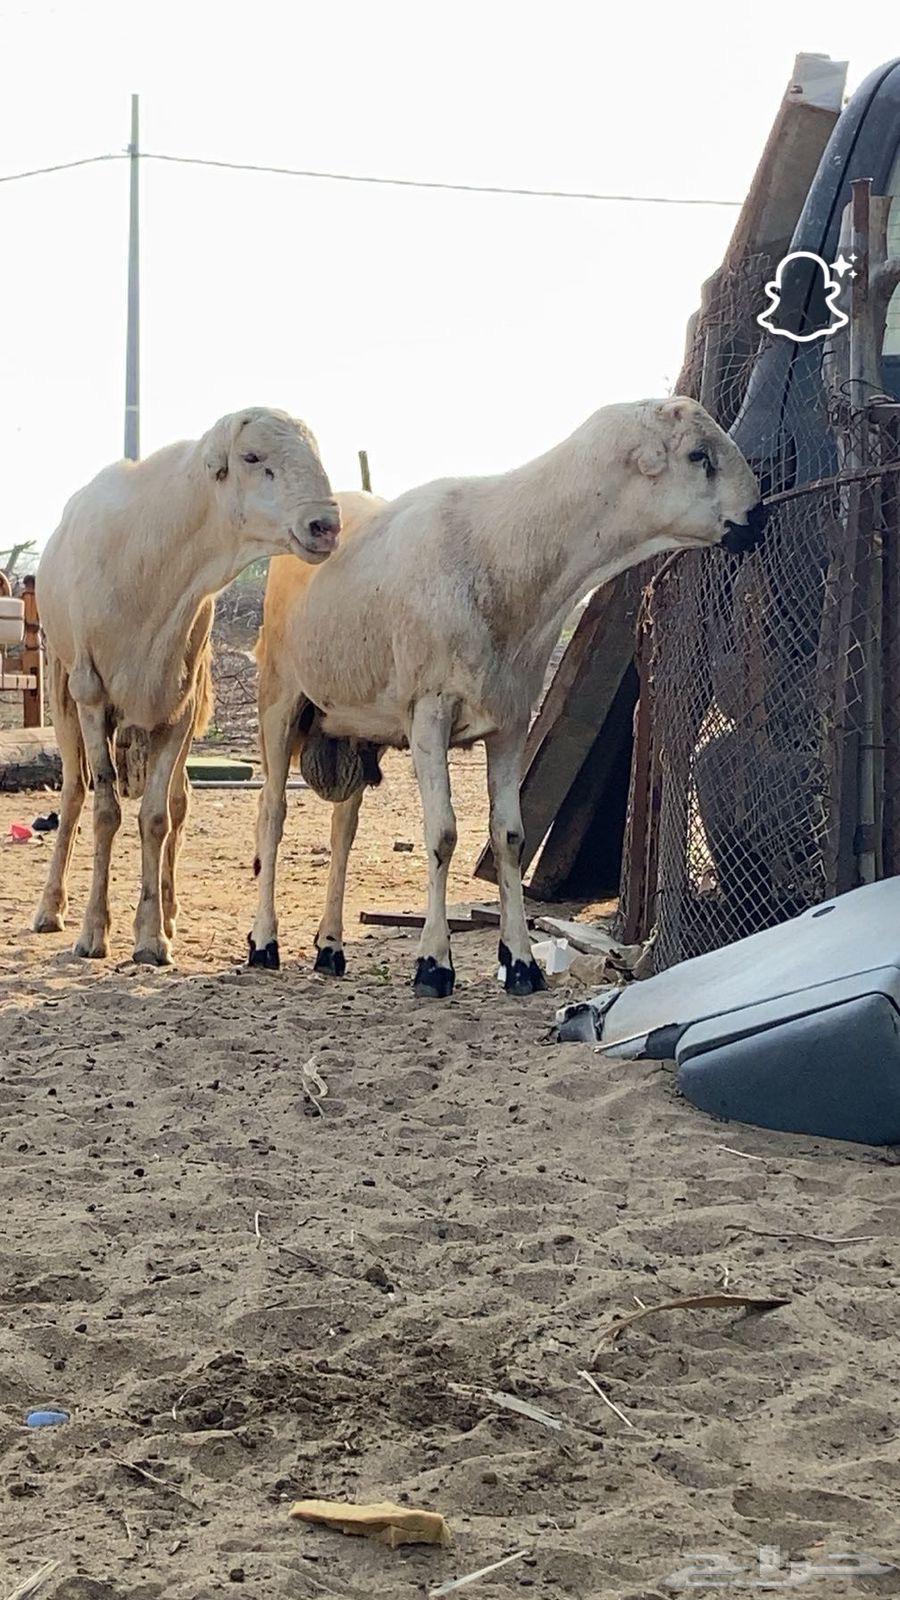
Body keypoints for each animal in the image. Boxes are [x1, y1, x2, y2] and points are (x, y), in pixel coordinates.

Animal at [33, 408, 340, 966]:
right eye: (252, 456)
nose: (326, 525)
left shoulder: (177, 708)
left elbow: (157, 817)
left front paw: (152, 936)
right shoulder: (92, 695)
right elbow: (105, 809)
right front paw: (94, 931)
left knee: (178, 801)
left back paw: (170, 912)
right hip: (63, 686)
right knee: (72, 792)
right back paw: (51, 909)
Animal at [249, 398, 765, 997]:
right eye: (699, 454)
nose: (757, 517)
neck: (511, 550)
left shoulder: (514, 719)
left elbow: (511, 837)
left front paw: (520, 963)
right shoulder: (430, 711)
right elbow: (443, 834)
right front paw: (433, 965)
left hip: (352, 724)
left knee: (343, 830)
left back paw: (330, 948)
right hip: (280, 699)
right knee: (273, 813)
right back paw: (264, 943)